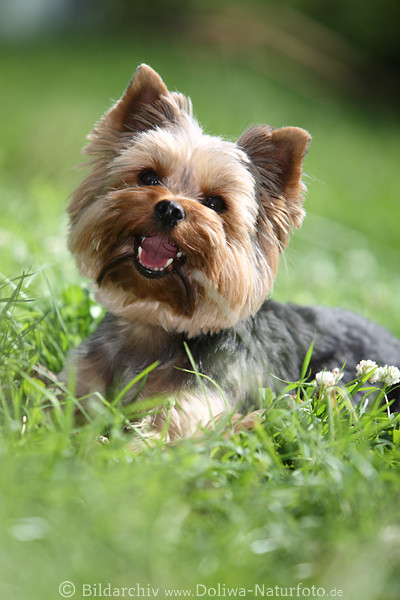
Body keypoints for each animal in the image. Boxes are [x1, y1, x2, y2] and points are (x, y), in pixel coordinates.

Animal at [64, 65, 400, 438]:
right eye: (148, 177)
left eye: (215, 203)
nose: (169, 209)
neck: (154, 322)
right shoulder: (78, 383)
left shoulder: (190, 409)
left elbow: (145, 441)